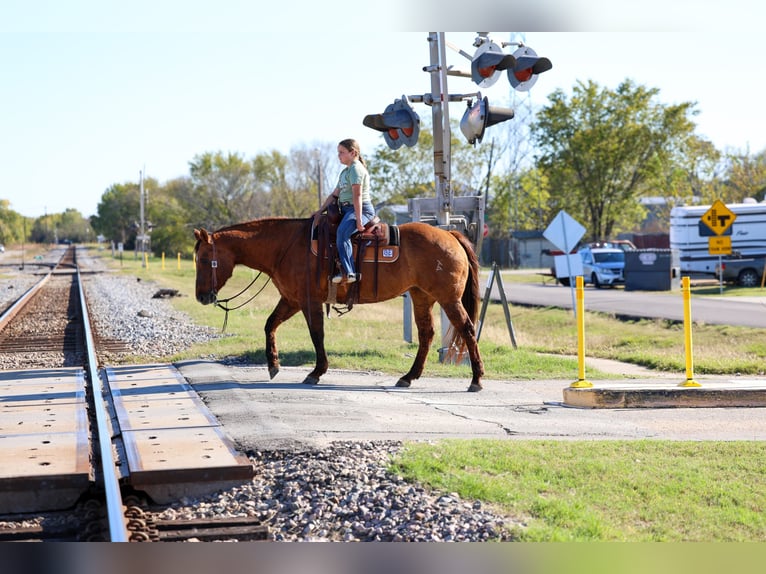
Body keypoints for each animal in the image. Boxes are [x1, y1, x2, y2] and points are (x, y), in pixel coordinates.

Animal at [193, 217, 485, 391]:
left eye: (205, 260)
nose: (201, 297)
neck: (285, 246)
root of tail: (451, 236)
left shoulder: (308, 301)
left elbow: (316, 334)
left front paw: (316, 372)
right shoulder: (291, 300)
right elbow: (270, 325)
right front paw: (273, 365)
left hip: (448, 299)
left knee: (467, 329)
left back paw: (476, 379)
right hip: (421, 296)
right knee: (426, 335)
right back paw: (408, 377)